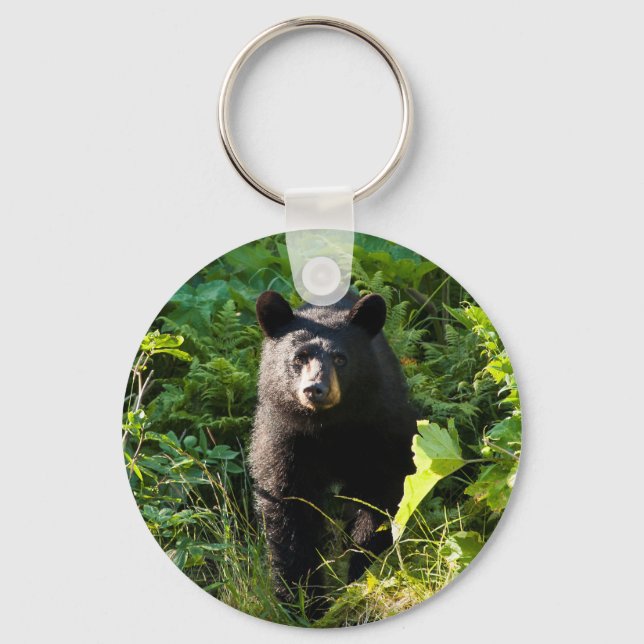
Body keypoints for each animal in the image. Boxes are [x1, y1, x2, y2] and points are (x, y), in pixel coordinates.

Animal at [249, 290, 417, 612]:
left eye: (340, 358)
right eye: (299, 358)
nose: (315, 389)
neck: (329, 427)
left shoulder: (381, 429)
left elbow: (383, 494)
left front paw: (361, 569)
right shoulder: (285, 438)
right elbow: (288, 507)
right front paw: (303, 600)